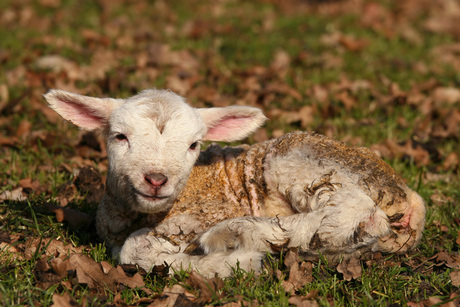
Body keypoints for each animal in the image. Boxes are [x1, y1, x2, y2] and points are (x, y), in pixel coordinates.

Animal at [43, 89, 424, 280]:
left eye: (194, 145)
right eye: (119, 136)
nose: (156, 179)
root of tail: (412, 199)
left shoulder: (198, 216)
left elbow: (135, 251)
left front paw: (222, 263)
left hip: (300, 163)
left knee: (351, 211)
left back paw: (234, 235)